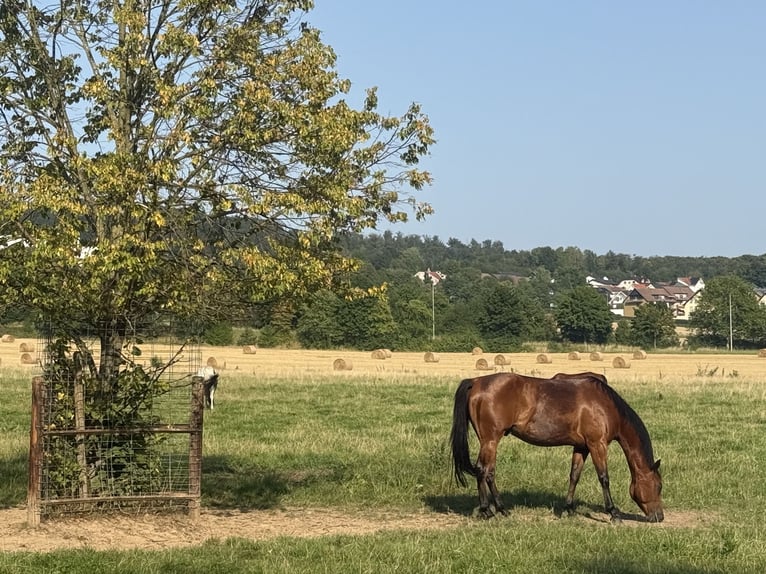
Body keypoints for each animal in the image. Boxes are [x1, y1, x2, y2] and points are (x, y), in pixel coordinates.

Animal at [450, 371, 663, 522]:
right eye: (659, 486)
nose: (659, 517)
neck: (604, 405)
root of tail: (476, 381)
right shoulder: (598, 445)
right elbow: (604, 478)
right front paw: (613, 513)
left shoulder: (581, 447)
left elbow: (574, 476)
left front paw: (568, 509)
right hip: (491, 441)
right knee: (486, 471)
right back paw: (494, 510)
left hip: (487, 441)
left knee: (483, 471)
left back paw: (491, 509)